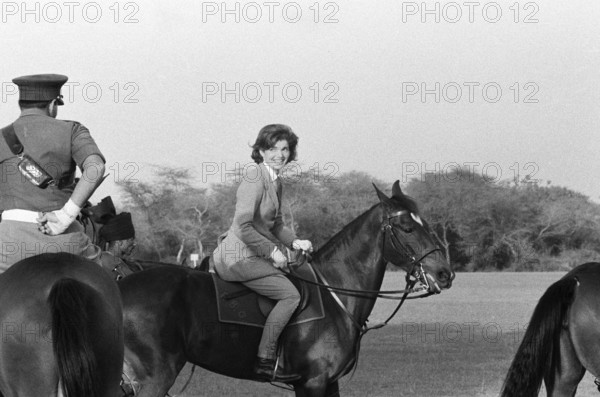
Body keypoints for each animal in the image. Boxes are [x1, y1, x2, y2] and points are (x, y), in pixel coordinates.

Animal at [118, 181, 454, 394]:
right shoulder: (313, 382)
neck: (336, 293)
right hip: (155, 378)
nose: (445, 273)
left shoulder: (328, 383)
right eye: (407, 228)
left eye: (425, 223)